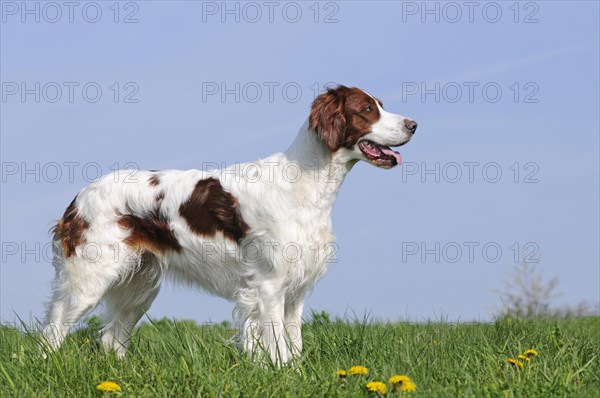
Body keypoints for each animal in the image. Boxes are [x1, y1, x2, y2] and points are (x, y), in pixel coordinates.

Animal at [41, 85, 418, 366]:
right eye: (367, 109)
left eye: (380, 106)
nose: (414, 124)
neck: (304, 182)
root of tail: (78, 198)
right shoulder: (268, 285)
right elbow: (279, 346)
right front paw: (284, 373)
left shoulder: (297, 290)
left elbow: (294, 342)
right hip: (89, 279)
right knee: (52, 332)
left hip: (139, 286)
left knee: (111, 338)